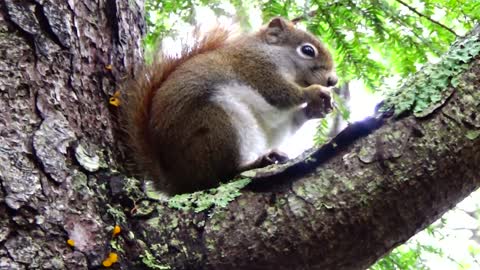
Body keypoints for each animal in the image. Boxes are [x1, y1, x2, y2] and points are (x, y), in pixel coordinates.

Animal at [121, 17, 338, 194]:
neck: (270, 52)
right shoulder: (256, 67)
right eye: (308, 50)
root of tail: (178, 181)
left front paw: (317, 108)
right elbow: (279, 93)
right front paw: (313, 92)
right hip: (216, 124)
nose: (333, 81)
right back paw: (254, 164)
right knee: (225, 173)